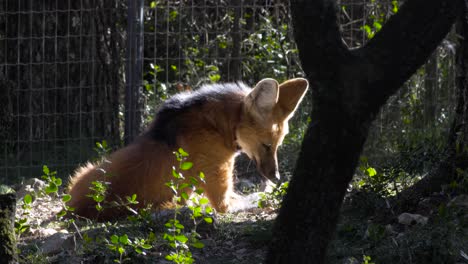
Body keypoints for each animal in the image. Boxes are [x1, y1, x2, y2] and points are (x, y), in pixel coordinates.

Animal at [66, 77, 308, 219]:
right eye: (266, 145)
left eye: (277, 145)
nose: (276, 176)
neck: (220, 126)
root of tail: (71, 208)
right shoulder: (222, 201)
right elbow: (253, 197)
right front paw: (273, 190)